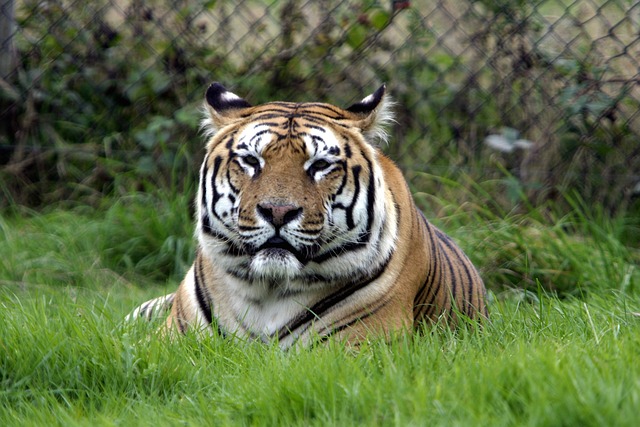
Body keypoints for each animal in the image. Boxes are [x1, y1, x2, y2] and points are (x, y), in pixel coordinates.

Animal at [130, 82, 490, 350]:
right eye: (251, 161)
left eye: (319, 165)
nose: (277, 211)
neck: (268, 290)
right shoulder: (169, 339)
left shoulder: (361, 347)